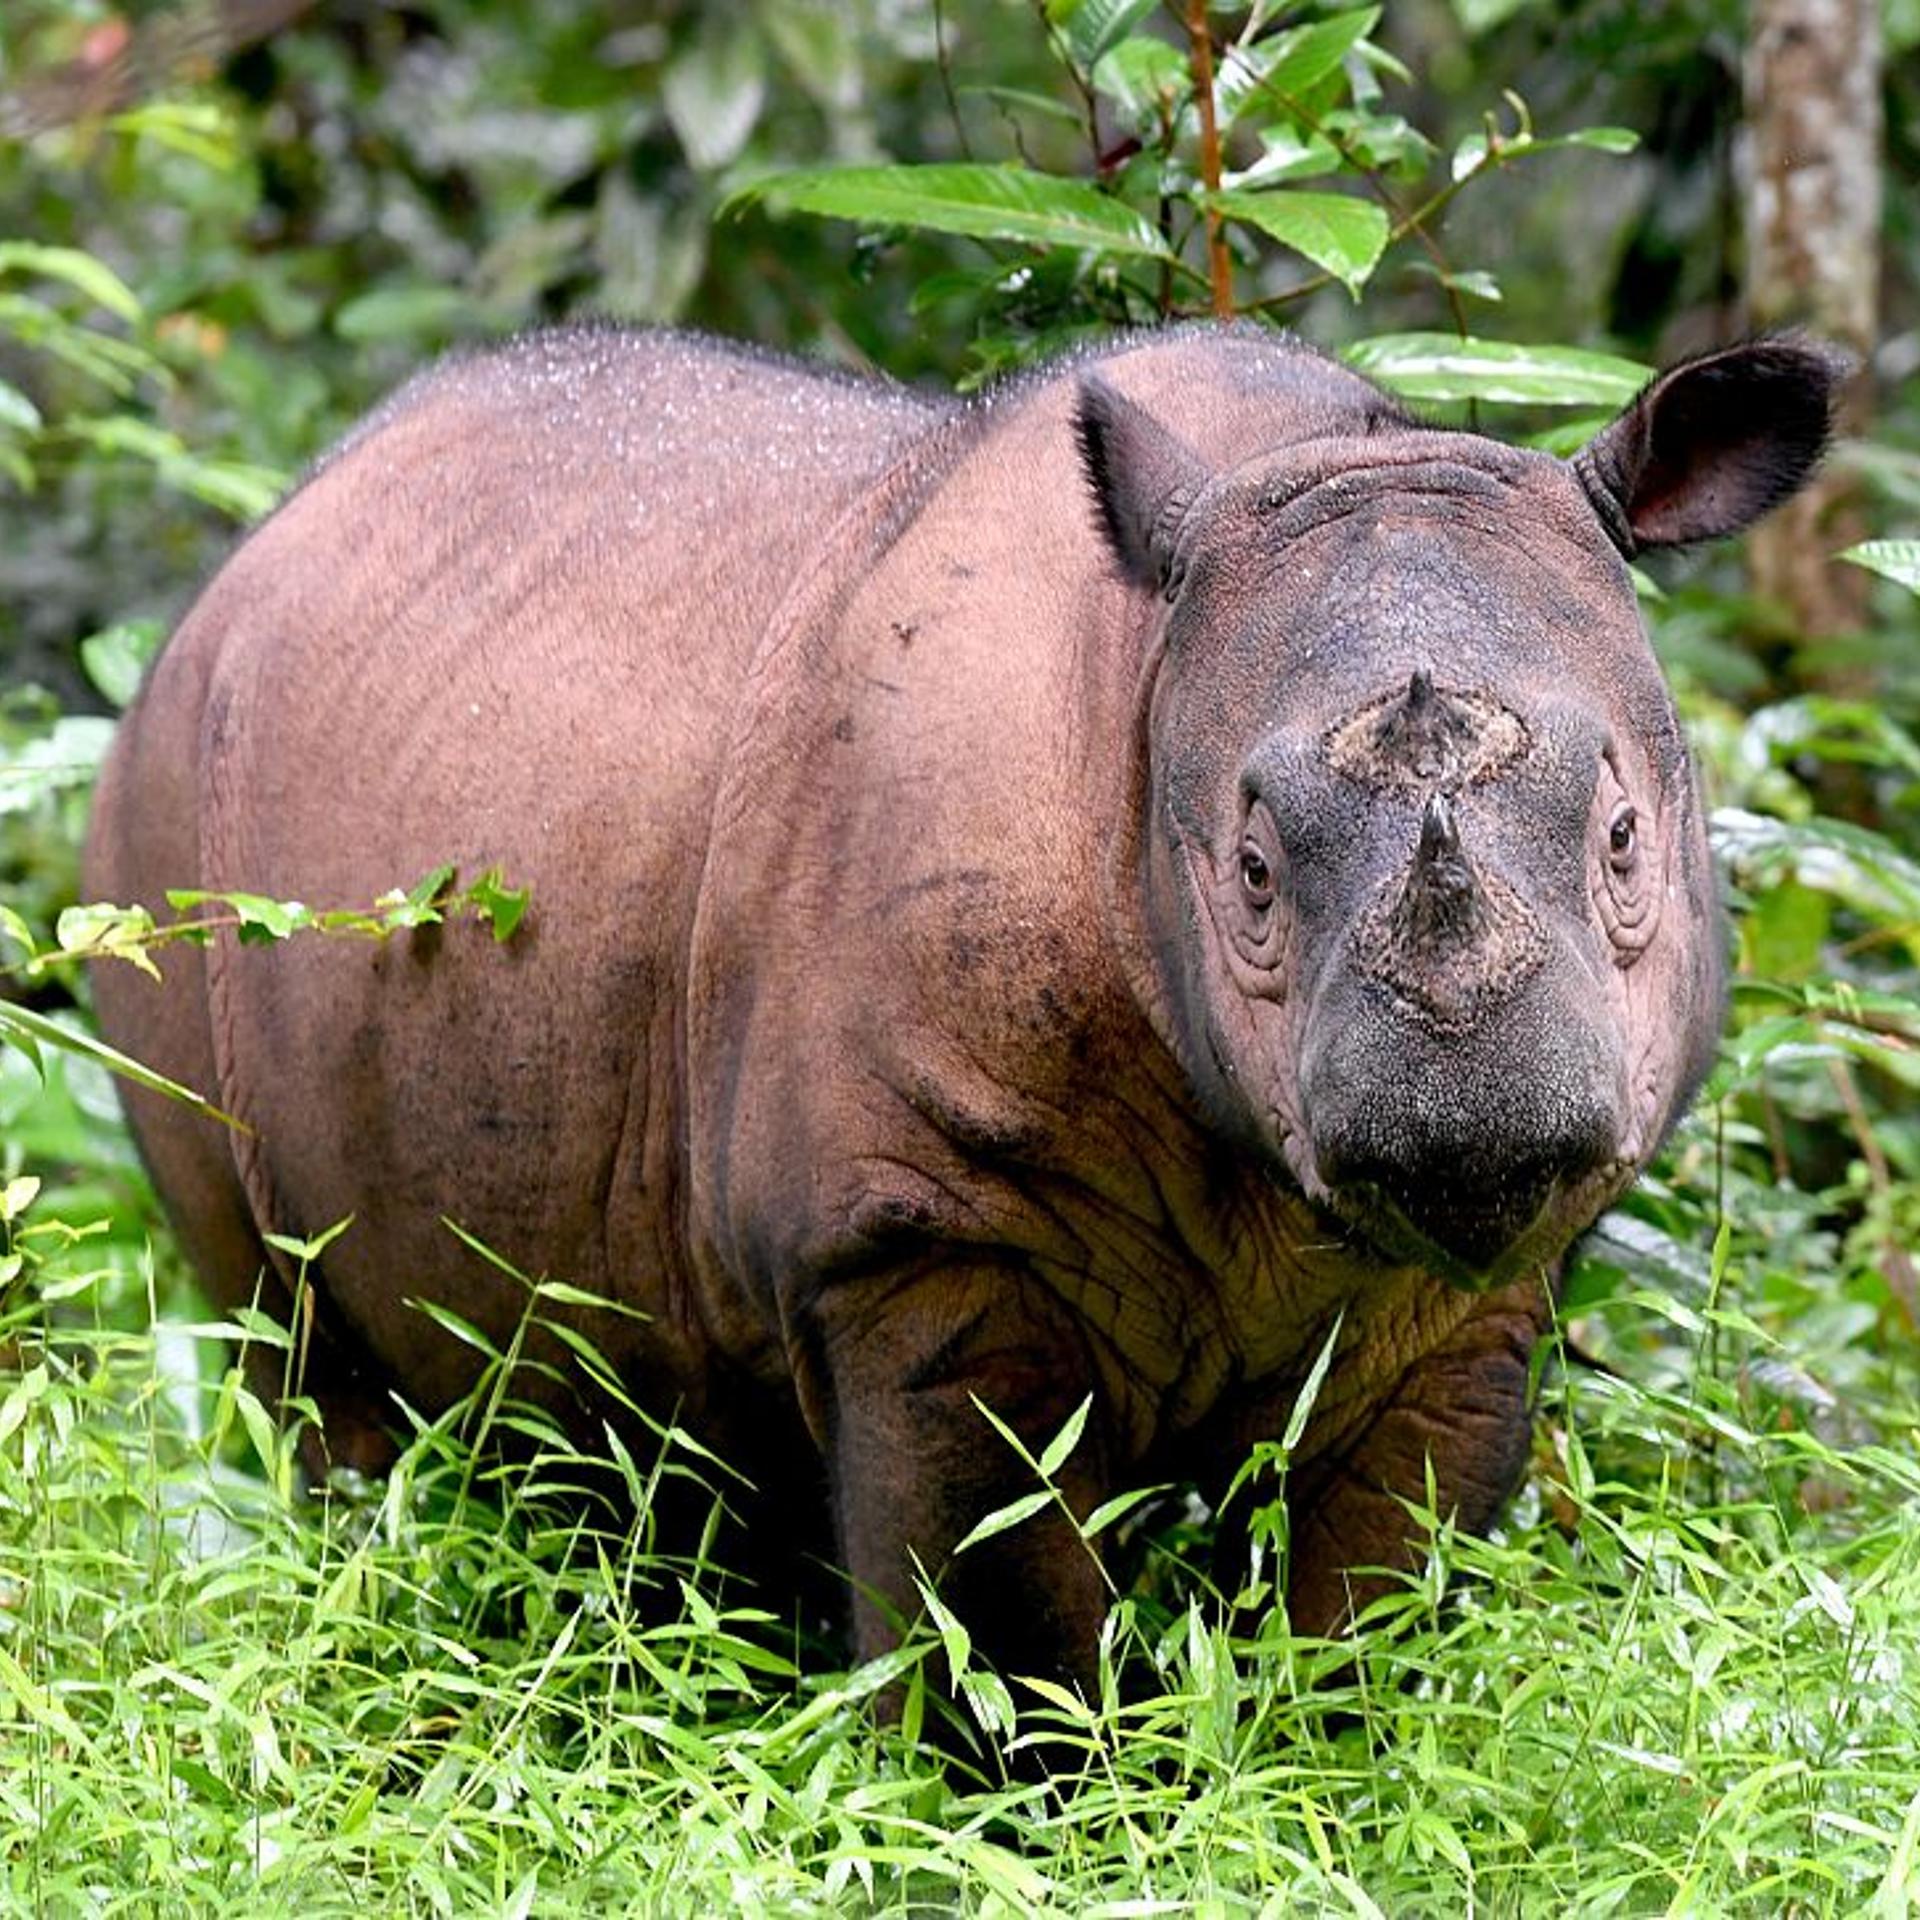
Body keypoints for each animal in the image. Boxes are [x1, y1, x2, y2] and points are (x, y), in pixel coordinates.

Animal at [86, 323, 1840, 1696]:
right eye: (1251, 873)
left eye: (1629, 844)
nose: (1474, 1124)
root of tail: (255, 544)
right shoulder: (919, 1239)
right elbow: (997, 1634)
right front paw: (1048, 1835)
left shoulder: (1469, 1298)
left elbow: (1375, 1617)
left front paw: (1335, 1783)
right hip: (155, 827)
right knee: (296, 1351)